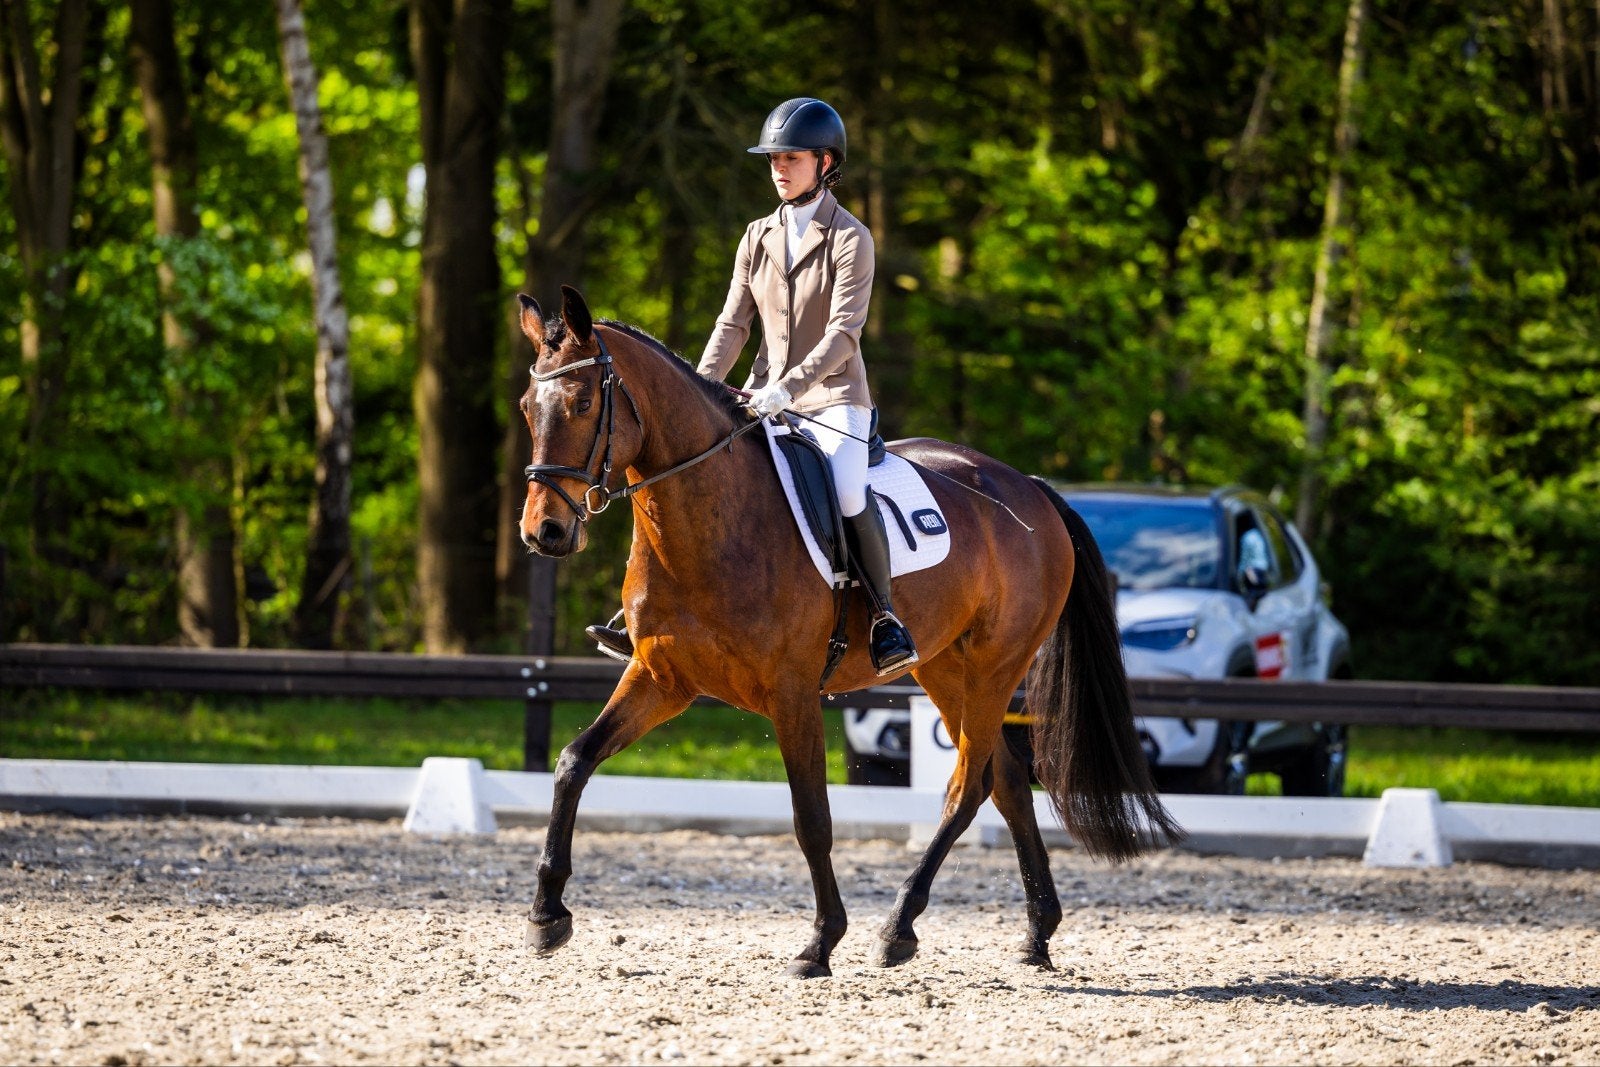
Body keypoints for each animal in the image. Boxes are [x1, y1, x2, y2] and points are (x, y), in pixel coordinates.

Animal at [516, 285, 1182, 978]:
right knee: (1004, 782)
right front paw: (547, 916)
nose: (544, 533)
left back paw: (898, 926)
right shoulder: (661, 678)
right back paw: (1035, 932)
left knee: (967, 785)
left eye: (584, 403)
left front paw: (821, 941)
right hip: (943, 668)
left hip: (996, 666)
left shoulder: (791, 694)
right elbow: (573, 761)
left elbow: (811, 817)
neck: (709, 519)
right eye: (527, 408)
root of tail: (1031, 488)